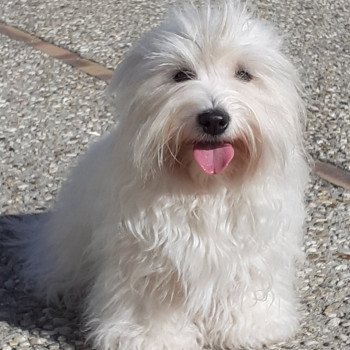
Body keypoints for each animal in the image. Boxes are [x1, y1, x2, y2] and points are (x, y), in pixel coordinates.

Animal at [10, 0, 308, 350]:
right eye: (180, 75)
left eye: (244, 74)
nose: (213, 119)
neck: (204, 188)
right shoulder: (148, 256)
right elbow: (151, 302)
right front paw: (150, 338)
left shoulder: (252, 245)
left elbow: (245, 285)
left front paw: (249, 326)